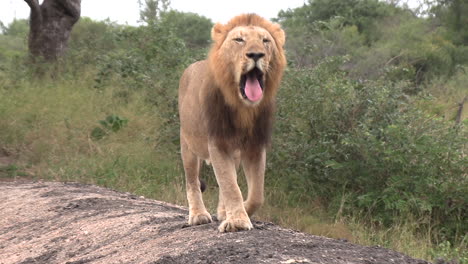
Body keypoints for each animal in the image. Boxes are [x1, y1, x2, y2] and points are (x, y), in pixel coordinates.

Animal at [178, 13, 286, 232]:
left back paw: (222, 212)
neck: (243, 108)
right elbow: (230, 185)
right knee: (192, 181)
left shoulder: (255, 146)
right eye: (239, 40)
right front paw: (237, 221)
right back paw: (199, 215)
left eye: (265, 41)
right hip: (188, 145)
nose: (256, 55)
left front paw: (239, 212)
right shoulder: (218, 143)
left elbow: (256, 194)